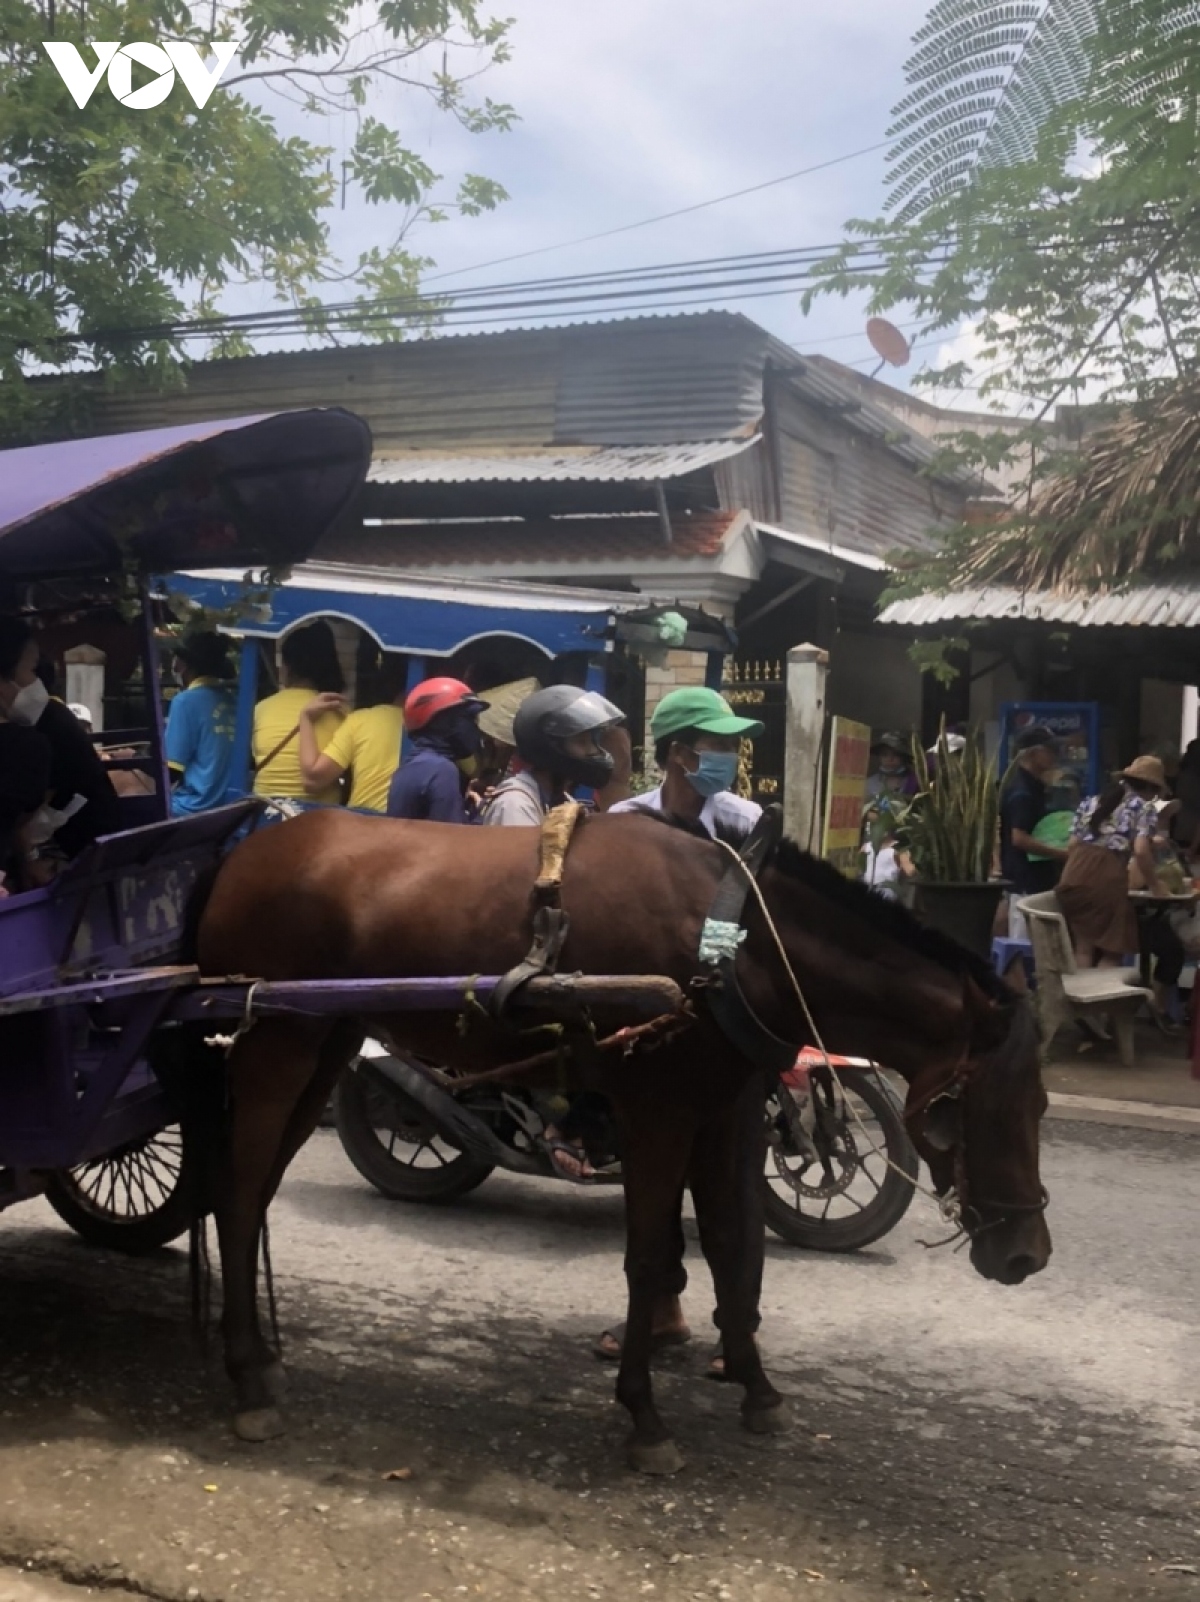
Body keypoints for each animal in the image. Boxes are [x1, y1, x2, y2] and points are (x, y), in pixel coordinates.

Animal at [192, 807, 1044, 1467]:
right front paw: (644, 1416)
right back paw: (243, 1376)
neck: (735, 941)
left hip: (327, 1039)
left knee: (257, 1189)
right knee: (236, 1194)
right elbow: (646, 1260)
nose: (1027, 1255)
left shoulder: (723, 1110)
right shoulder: (658, 1112)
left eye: (1037, 1103)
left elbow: (729, 1247)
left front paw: (755, 1386)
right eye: (974, 1109)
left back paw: (262, 1356)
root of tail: (242, 854)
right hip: (274, 1047)